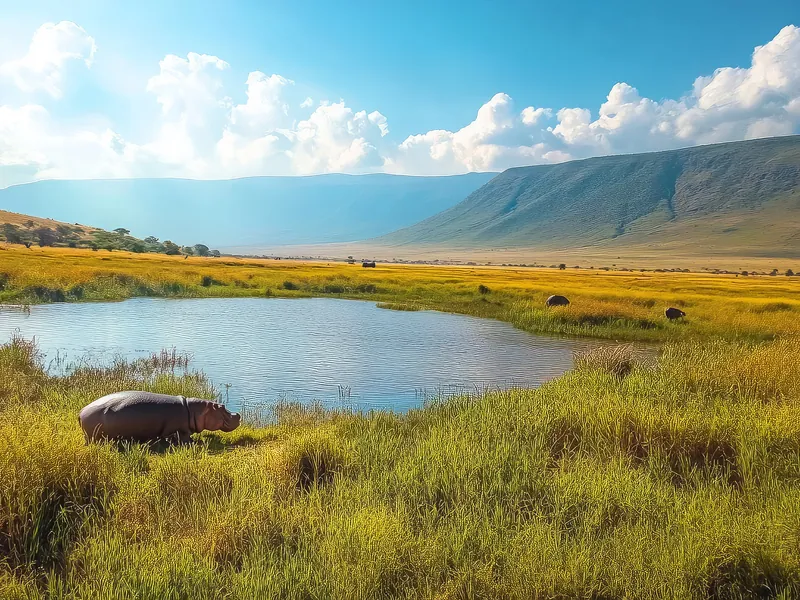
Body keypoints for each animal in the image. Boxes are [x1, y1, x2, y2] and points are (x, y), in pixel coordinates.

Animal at [79, 391, 241, 443]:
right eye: (222, 407)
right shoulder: (181, 430)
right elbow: (184, 438)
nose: (237, 414)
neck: (193, 410)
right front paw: (193, 443)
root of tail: (80, 413)